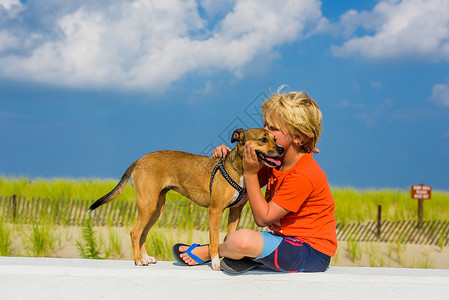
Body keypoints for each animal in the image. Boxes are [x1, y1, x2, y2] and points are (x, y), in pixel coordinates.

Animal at [89, 127, 282, 270]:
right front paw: (215, 263)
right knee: (135, 232)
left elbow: (230, 237)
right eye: (263, 139)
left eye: (275, 138)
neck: (238, 169)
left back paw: (145, 257)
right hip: (148, 205)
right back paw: (138, 260)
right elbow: (214, 241)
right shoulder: (215, 211)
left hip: (156, 208)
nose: (281, 149)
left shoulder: (235, 212)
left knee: (143, 233)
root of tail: (140, 160)